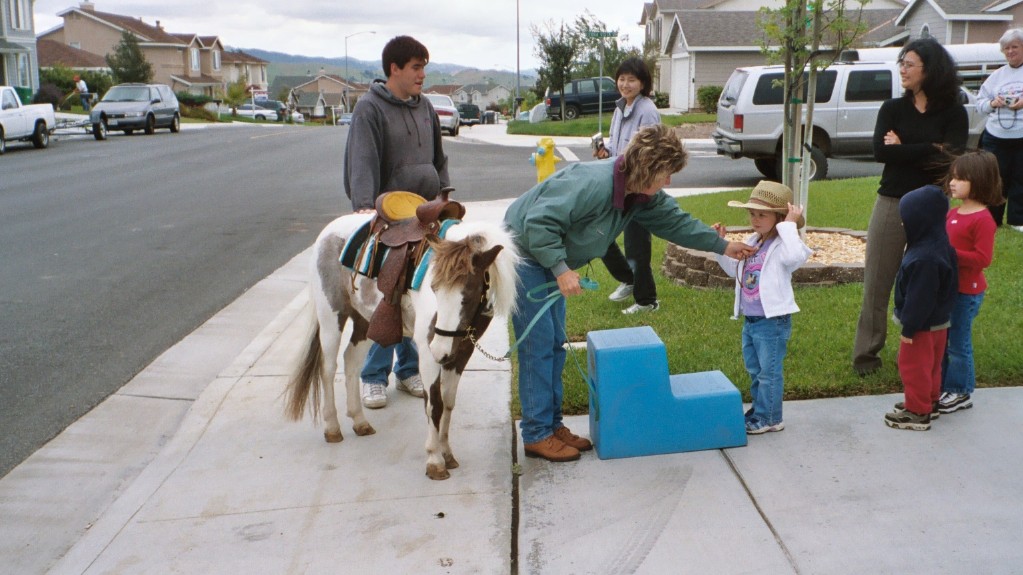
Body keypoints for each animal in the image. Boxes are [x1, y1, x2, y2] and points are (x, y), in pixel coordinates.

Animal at [282, 212, 515, 476]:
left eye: (469, 293)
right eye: (433, 288)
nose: (440, 350)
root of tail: (328, 232)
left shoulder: (461, 351)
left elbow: (448, 401)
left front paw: (447, 453)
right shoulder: (427, 350)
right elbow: (434, 403)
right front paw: (435, 459)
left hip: (366, 323)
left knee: (351, 361)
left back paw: (360, 422)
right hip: (331, 317)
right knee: (328, 369)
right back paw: (332, 428)